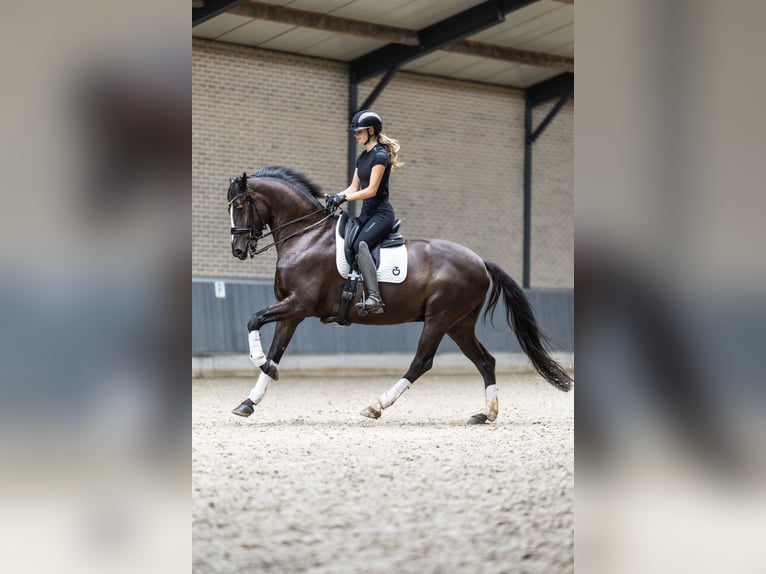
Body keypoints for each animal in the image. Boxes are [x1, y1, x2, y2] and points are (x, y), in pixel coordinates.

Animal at [227, 166, 572, 424]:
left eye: (241, 207)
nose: (238, 250)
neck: (306, 236)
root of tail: (479, 261)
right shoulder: (292, 310)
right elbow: (276, 350)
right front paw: (249, 401)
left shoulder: (299, 303)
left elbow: (253, 320)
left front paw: (260, 363)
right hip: (459, 324)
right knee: (485, 361)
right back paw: (485, 414)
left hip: (439, 319)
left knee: (422, 362)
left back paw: (376, 406)